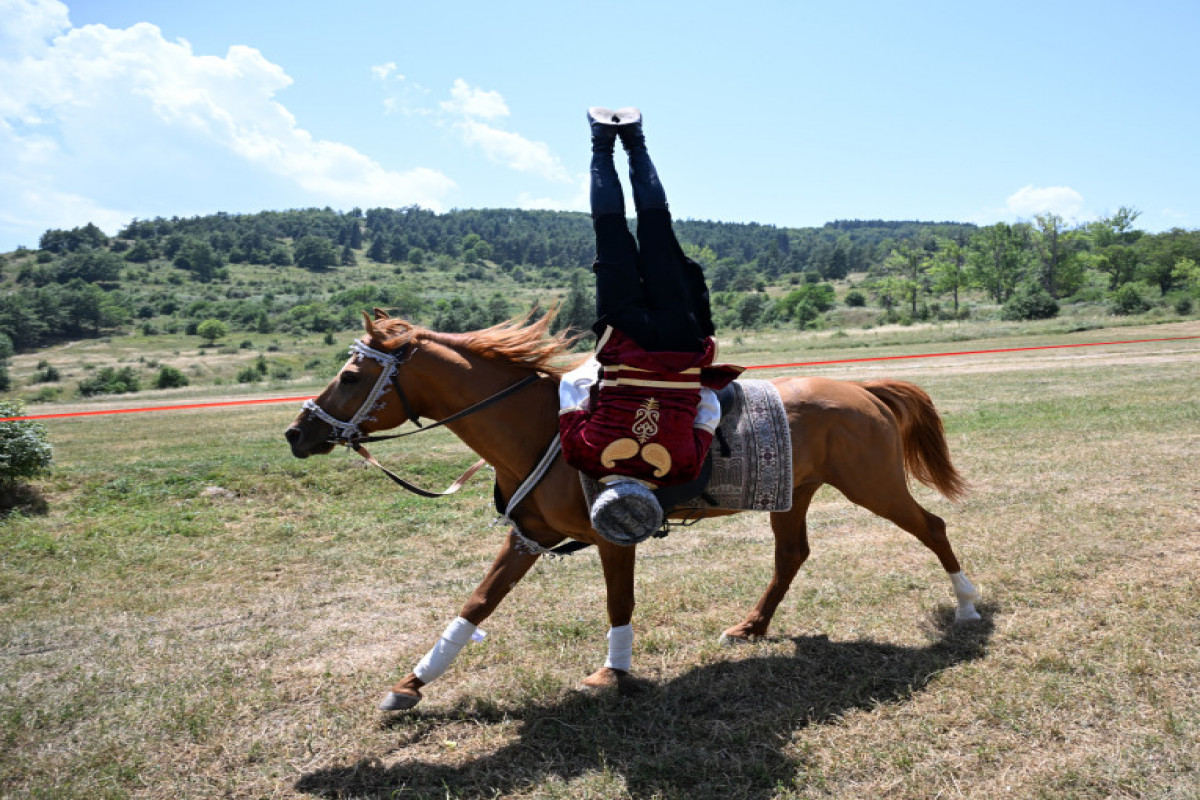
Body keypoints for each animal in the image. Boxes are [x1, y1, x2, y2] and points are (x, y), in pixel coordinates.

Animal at [284, 309, 982, 712]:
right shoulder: (528, 537)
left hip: (874, 485)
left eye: (352, 376)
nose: (297, 432)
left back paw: (968, 607)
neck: (540, 428)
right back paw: (751, 627)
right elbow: (477, 603)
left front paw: (611, 673)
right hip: (794, 494)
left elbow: (618, 603)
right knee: (792, 555)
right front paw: (411, 684)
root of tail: (860, 388)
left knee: (933, 527)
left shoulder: (612, 535)